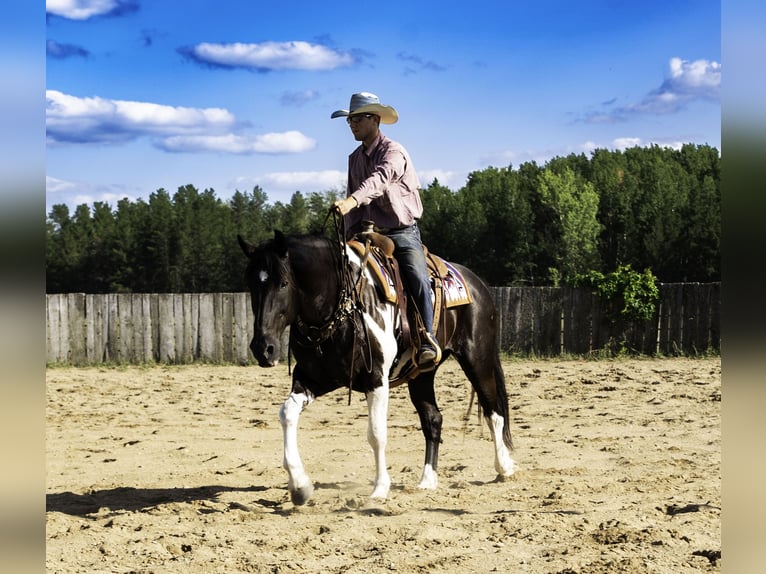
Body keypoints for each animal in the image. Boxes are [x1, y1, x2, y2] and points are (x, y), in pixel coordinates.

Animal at [240, 232, 516, 506]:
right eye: (252, 284)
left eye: (283, 283)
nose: (263, 348)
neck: (341, 301)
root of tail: (477, 283)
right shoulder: (314, 378)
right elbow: (287, 413)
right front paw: (299, 486)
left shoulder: (376, 379)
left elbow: (376, 433)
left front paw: (380, 488)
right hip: (421, 375)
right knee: (433, 419)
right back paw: (427, 480)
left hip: (477, 359)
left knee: (493, 409)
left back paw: (504, 467)